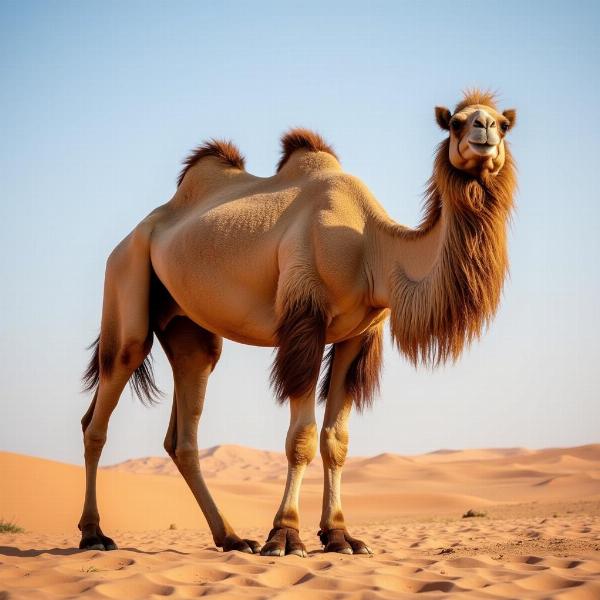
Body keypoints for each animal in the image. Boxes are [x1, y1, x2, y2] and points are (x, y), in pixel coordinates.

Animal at [77, 90, 516, 556]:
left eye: (504, 124)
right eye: (455, 122)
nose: (484, 130)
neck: (373, 247)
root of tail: (137, 231)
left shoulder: (358, 336)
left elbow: (336, 441)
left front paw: (340, 536)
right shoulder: (305, 318)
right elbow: (301, 438)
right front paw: (285, 535)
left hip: (188, 330)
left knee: (183, 429)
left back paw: (231, 537)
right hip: (126, 277)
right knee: (101, 409)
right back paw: (94, 534)